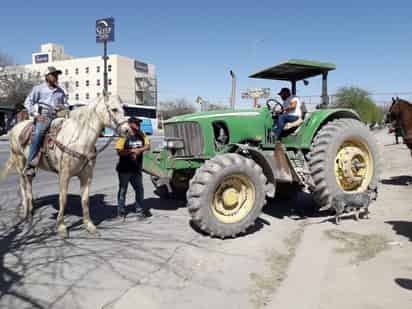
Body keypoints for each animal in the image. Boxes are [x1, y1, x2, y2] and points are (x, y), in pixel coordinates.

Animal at [0, 95, 130, 237]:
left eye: (123, 108)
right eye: (114, 109)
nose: (128, 130)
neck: (79, 141)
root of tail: (15, 128)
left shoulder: (87, 176)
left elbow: (85, 200)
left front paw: (89, 225)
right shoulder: (64, 175)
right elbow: (63, 199)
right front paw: (61, 226)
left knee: (28, 183)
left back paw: (31, 207)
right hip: (19, 161)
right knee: (23, 185)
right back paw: (25, 210)